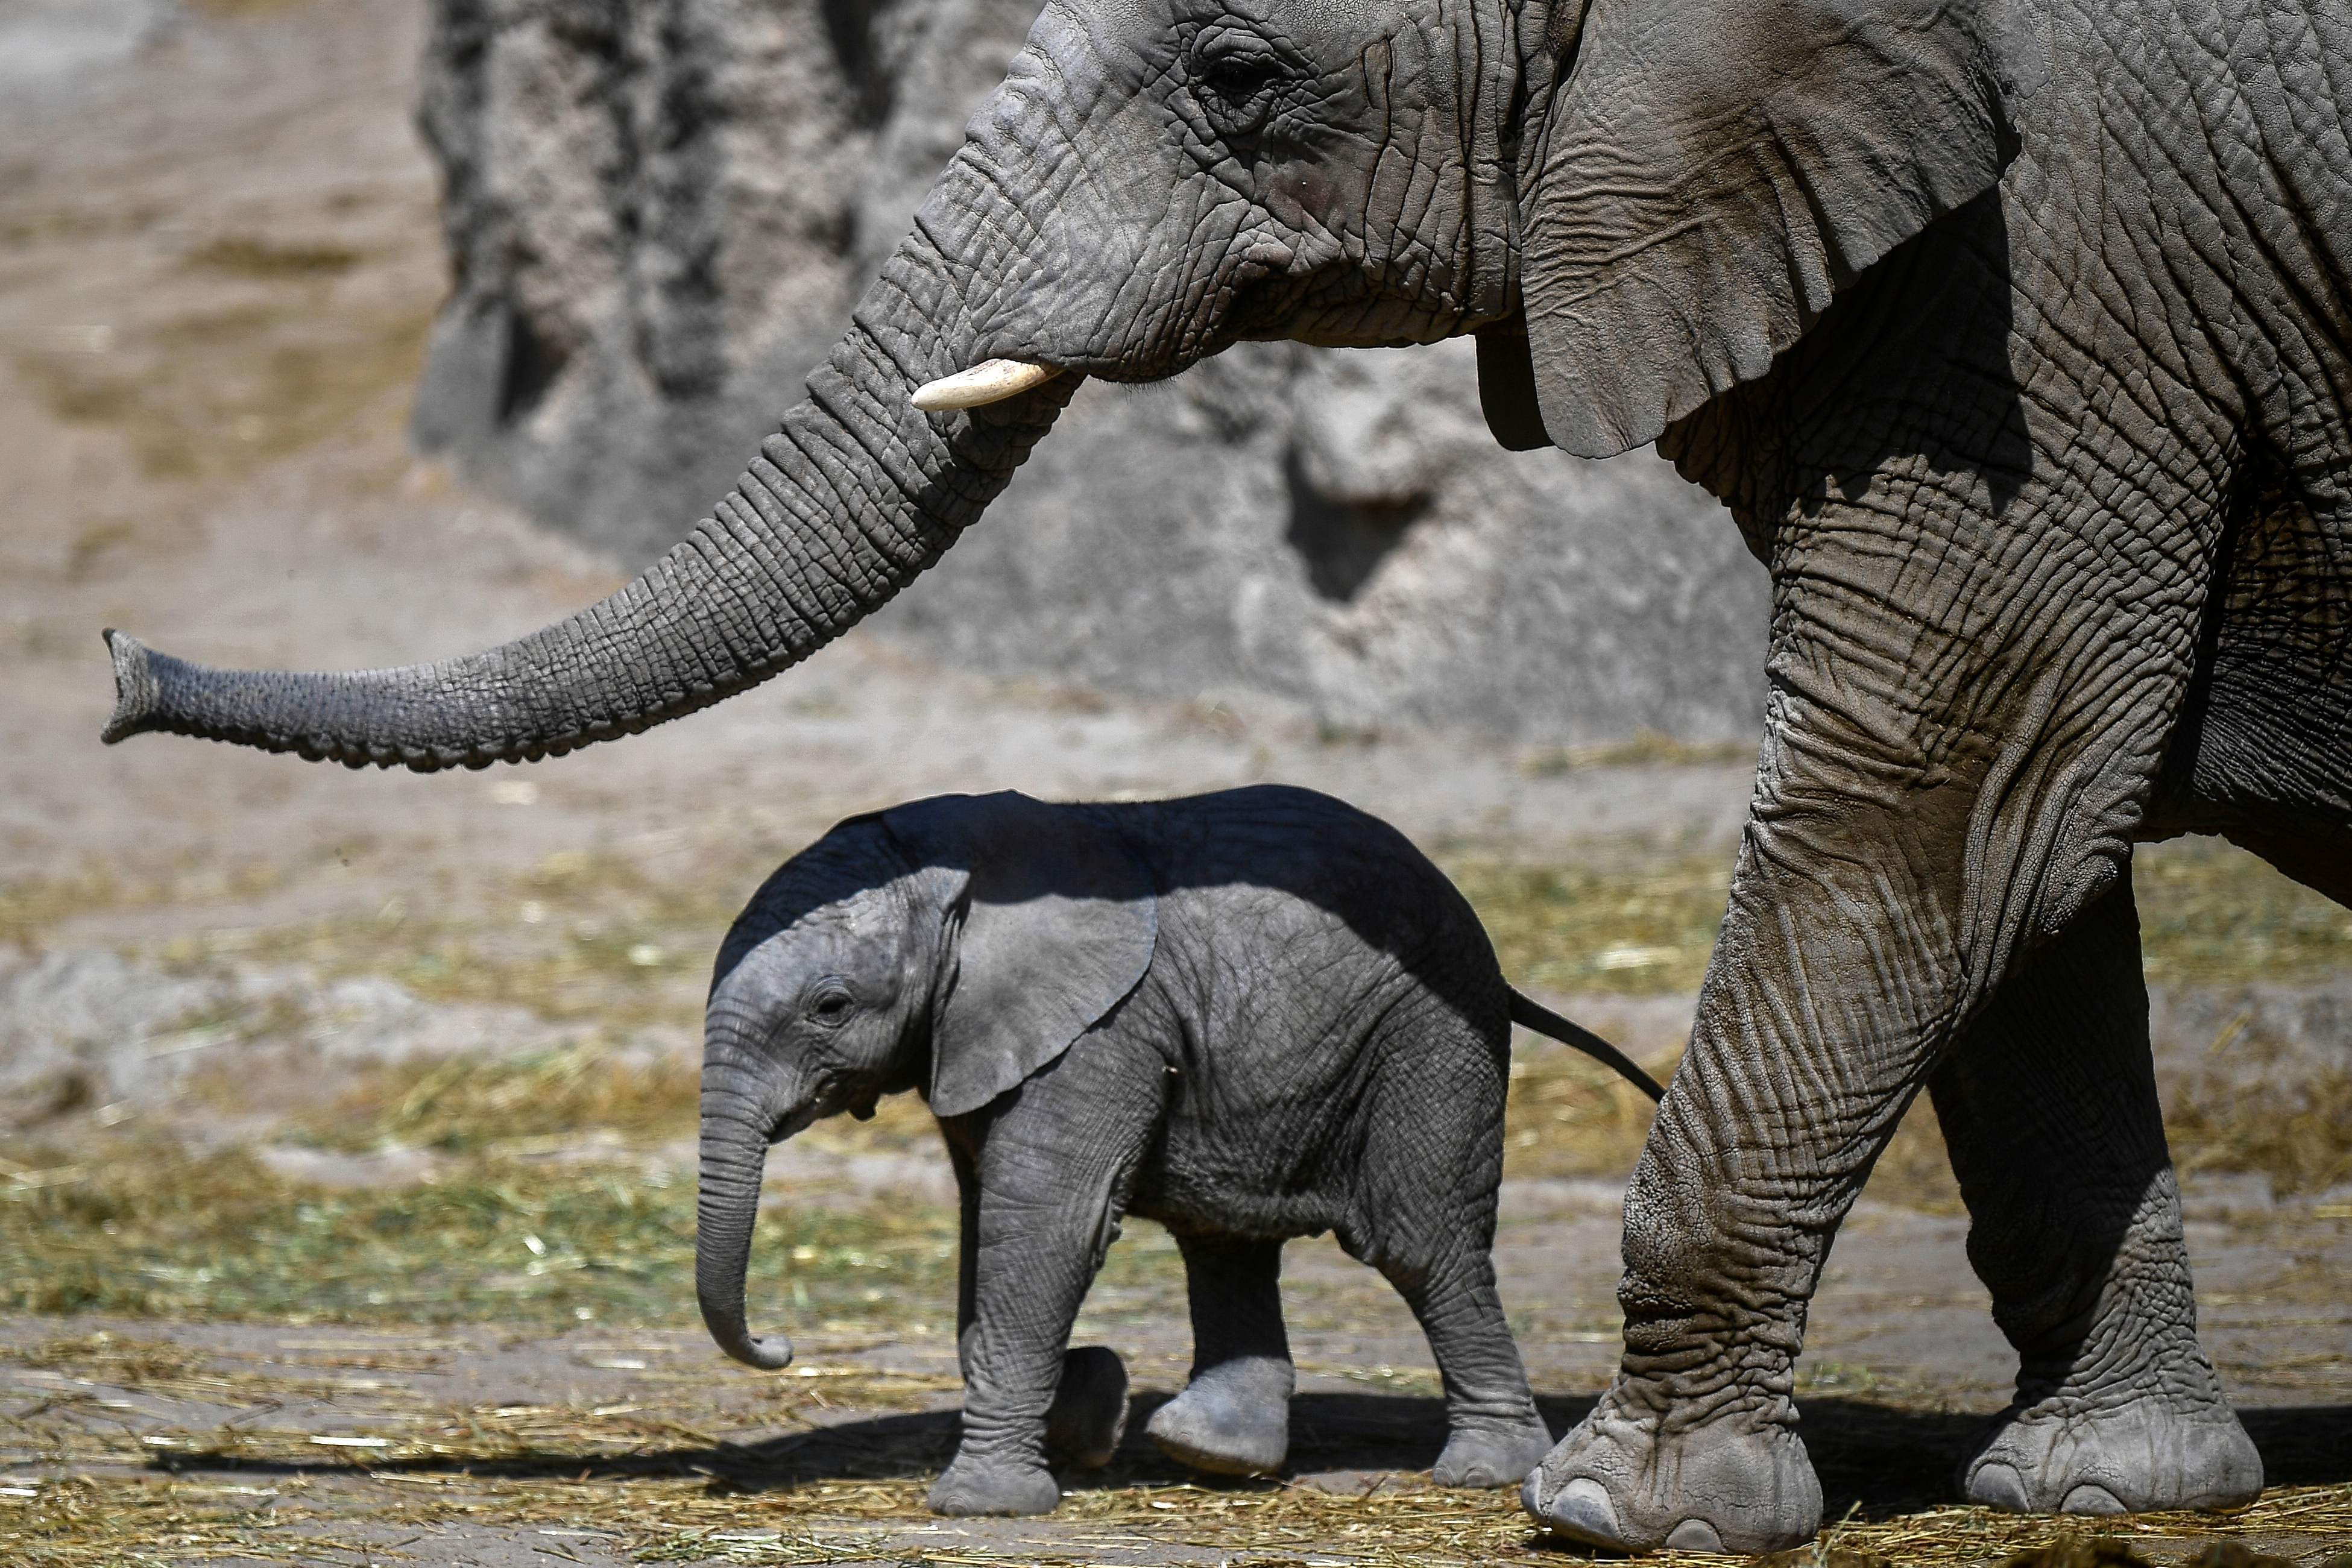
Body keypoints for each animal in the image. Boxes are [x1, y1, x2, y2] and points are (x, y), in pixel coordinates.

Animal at [687, 790, 1665, 1514]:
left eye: (830, 1007)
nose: (778, 1344)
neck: (952, 873)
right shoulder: (974, 1034)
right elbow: (987, 1218)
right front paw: (1090, 1411)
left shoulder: (1102, 1027)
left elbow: (1050, 1220)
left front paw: (986, 1502)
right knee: (1225, 1238)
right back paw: (1209, 1451)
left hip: (1429, 1035)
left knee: (1419, 1242)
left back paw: (1483, 1472)